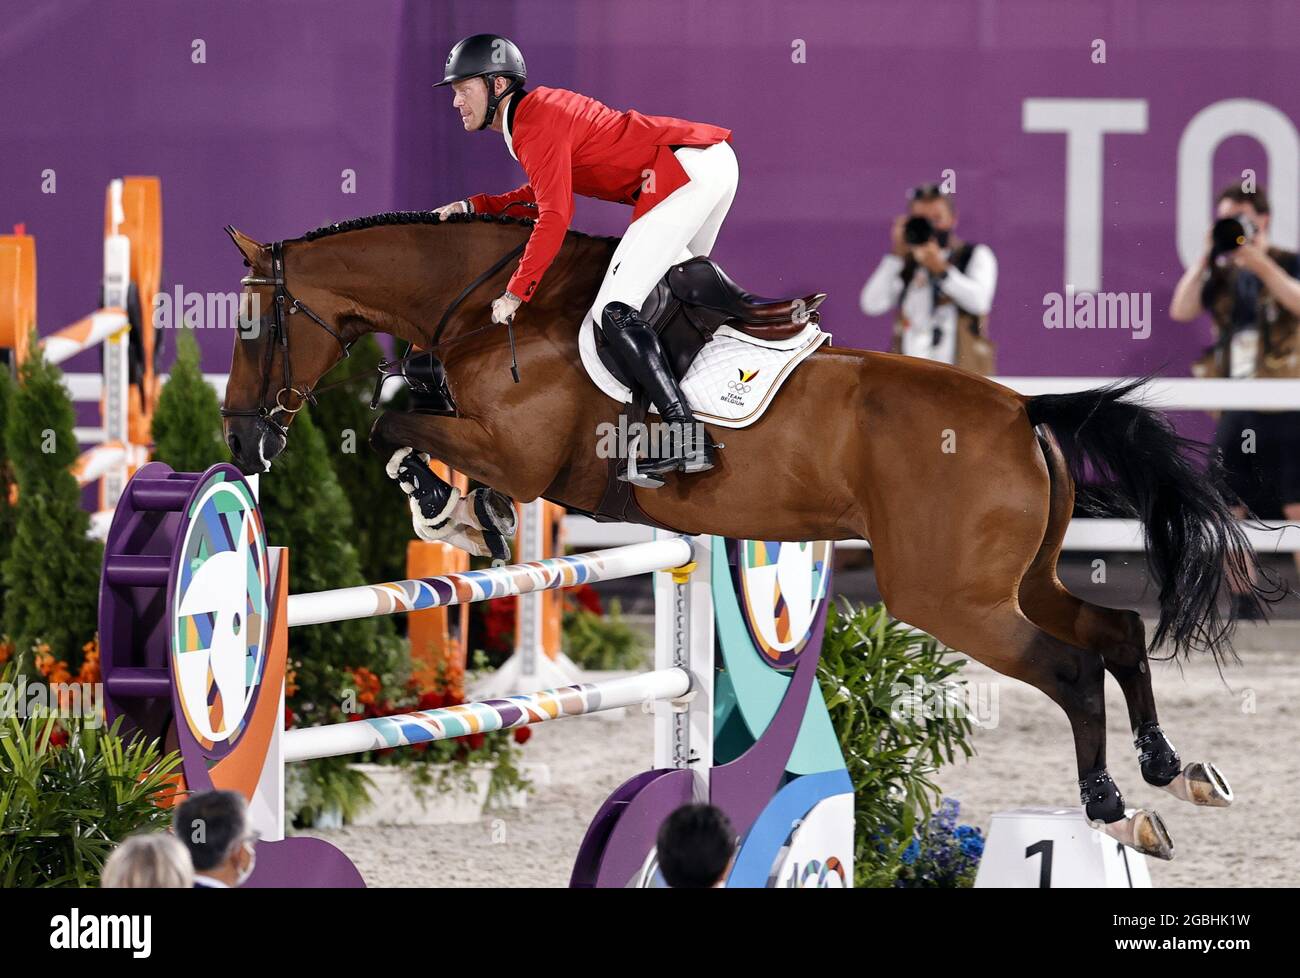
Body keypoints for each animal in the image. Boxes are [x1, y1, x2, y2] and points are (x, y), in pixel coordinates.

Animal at [221, 210, 1277, 858]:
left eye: (248, 326)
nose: (239, 439)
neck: (491, 300)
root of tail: (1025, 413)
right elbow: (407, 404)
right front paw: (461, 512)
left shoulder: (517, 452)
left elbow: (395, 417)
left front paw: (449, 507)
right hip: (1014, 582)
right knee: (1117, 633)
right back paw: (1171, 771)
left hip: (950, 598)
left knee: (1070, 667)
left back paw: (1112, 808)